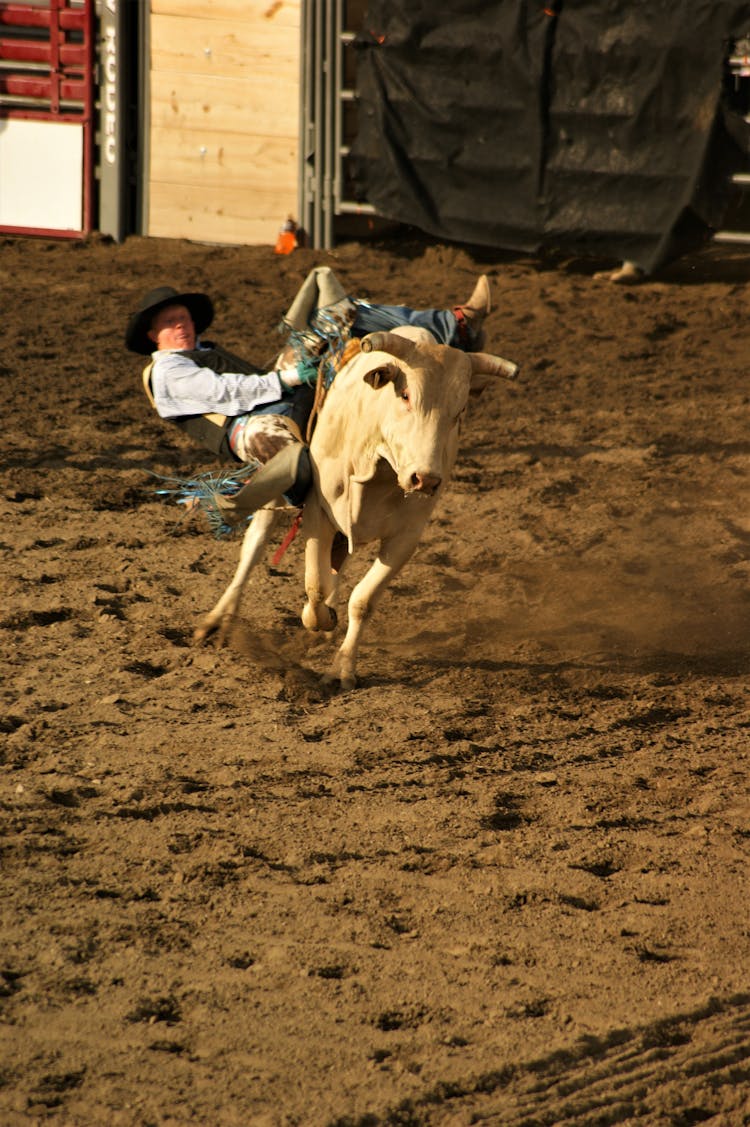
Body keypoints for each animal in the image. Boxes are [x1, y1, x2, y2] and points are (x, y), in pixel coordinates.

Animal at [196, 326, 518, 685]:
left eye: (459, 411)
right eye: (406, 396)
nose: (425, 479)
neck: (378, 465)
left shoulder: (406, 538)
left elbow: (362, 600)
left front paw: (342, 667)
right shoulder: (318, 515)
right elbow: (315, 586)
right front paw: (318, 617)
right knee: (254, 546)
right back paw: (219, 620)